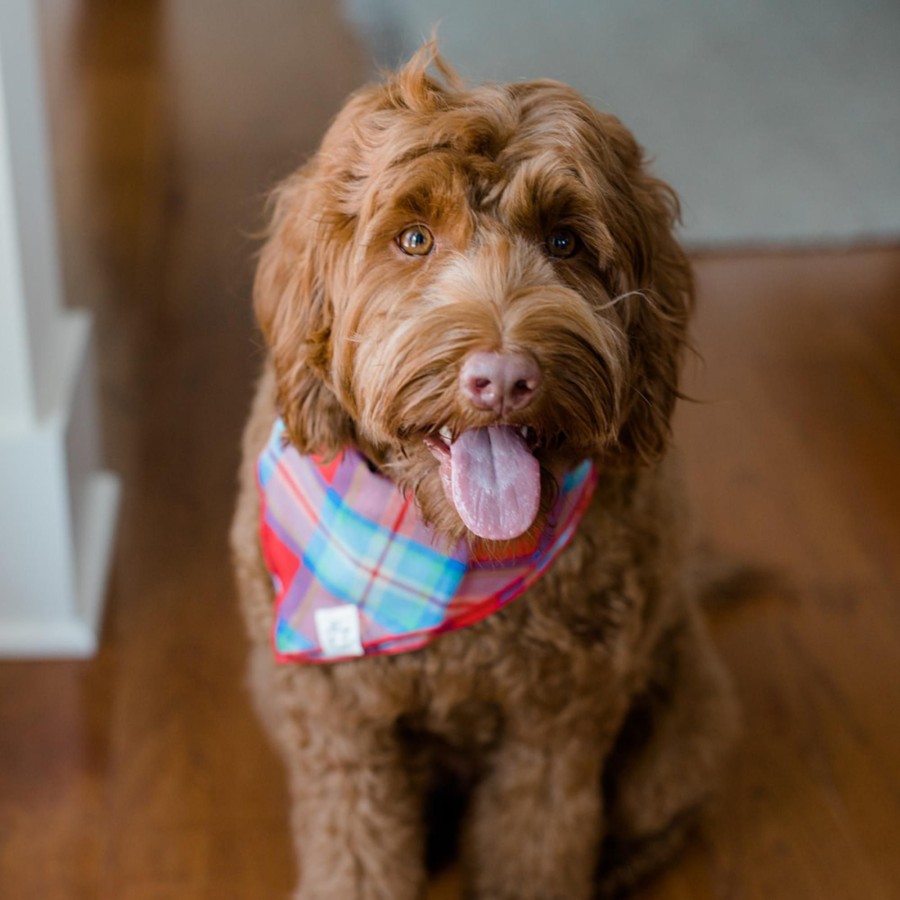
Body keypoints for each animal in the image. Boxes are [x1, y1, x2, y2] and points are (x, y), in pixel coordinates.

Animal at [232, 44, 740, 900]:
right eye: (412, 238)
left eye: (566, 243)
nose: (504, 378)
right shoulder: (337, 725)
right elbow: (357, 849)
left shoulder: (561, 722)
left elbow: (536, 842)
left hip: (680, 721)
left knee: (660, 811)